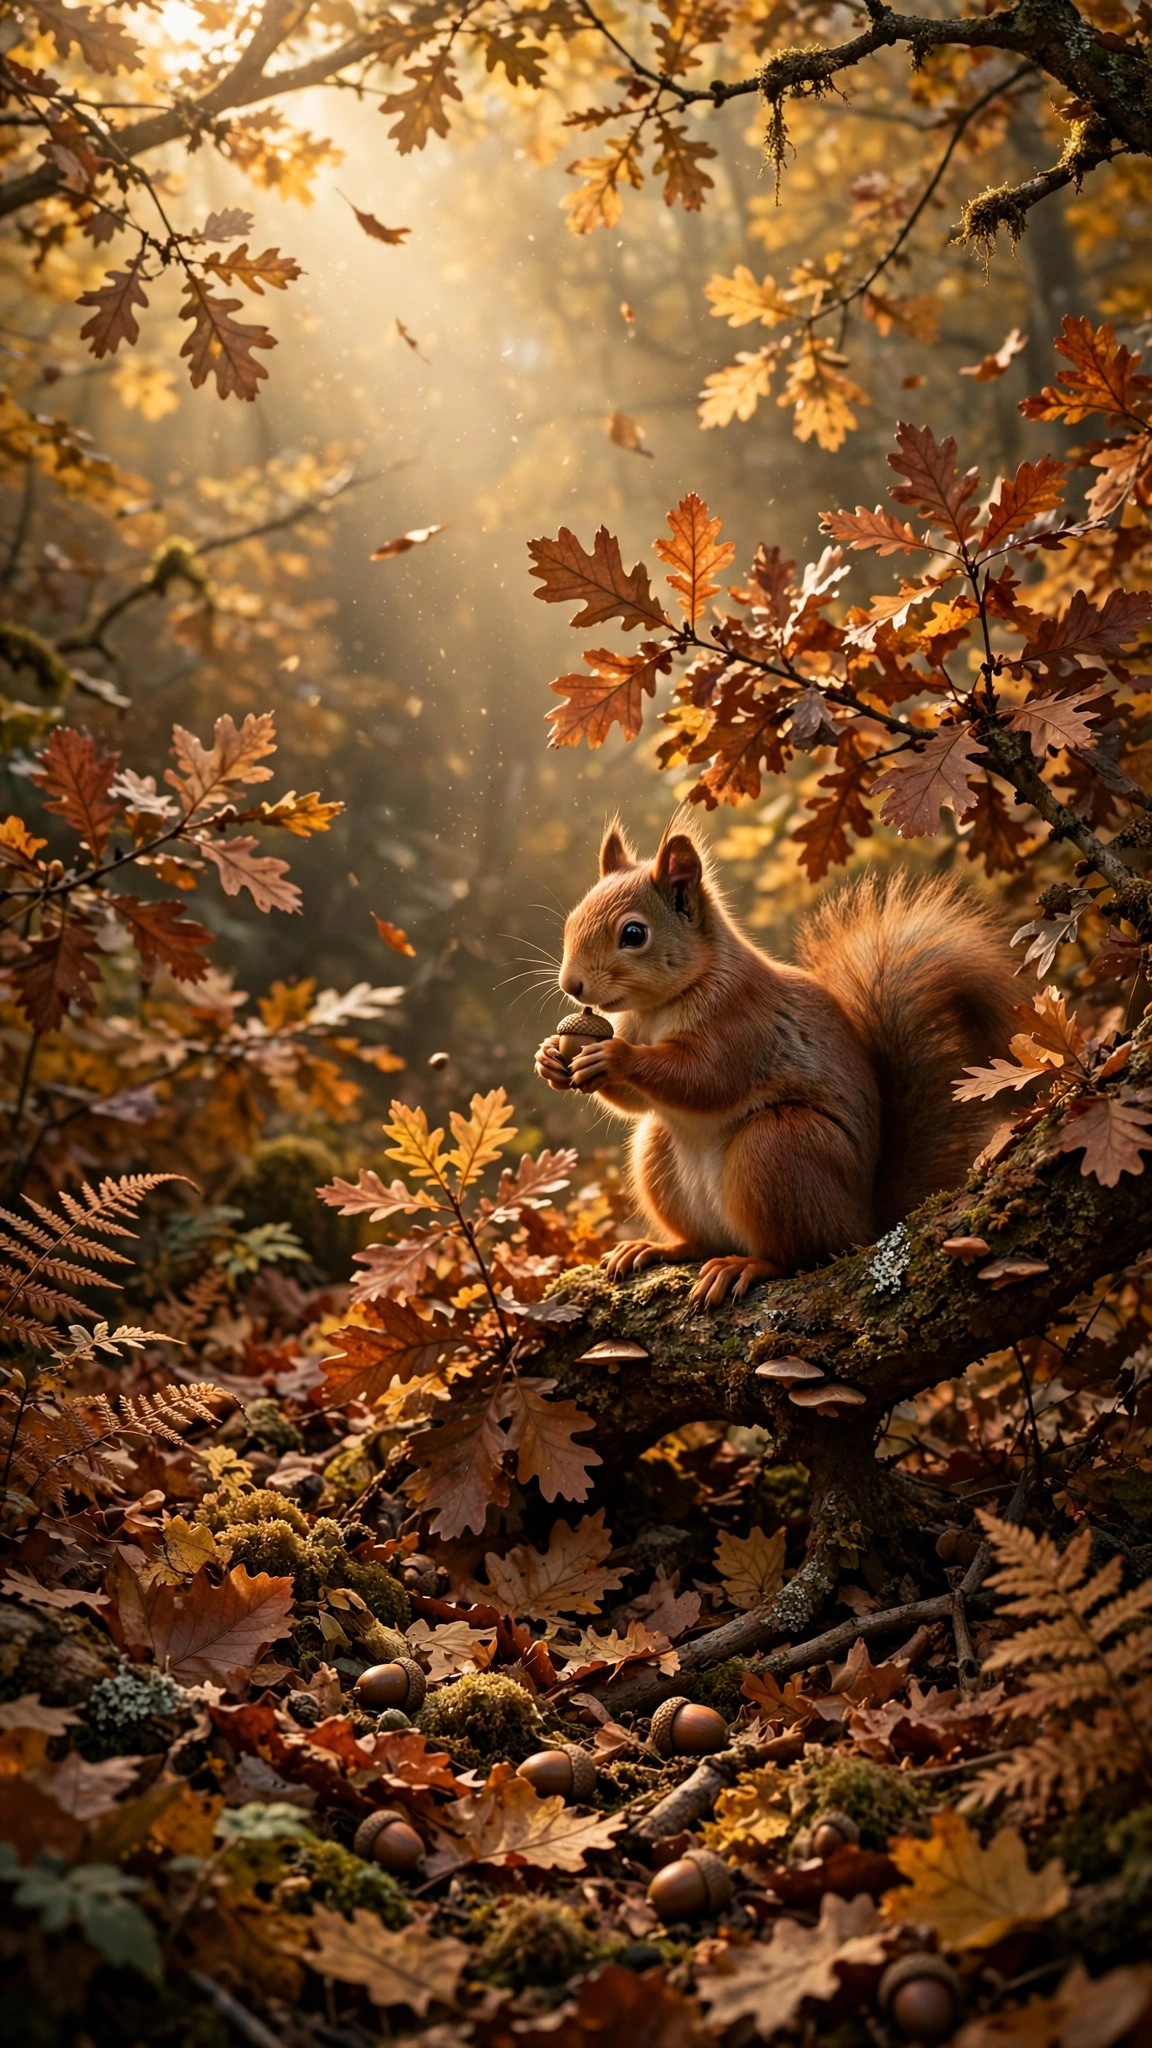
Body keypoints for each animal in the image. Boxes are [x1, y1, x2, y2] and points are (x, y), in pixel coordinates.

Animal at [534, 815, 1015, 1306]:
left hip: (779, 1146)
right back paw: (656, 1248)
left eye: (634, 934)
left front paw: (614, 1056)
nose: (571, 985)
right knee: (702, 1240)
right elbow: (635, 1102)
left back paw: (744, 1265)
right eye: (572, 920)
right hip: (659, 1154)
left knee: (799, 1255)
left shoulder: (742, 1024)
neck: (660, 1007)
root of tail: (865, 1222)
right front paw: (549, 1058)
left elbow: (704, 1079)